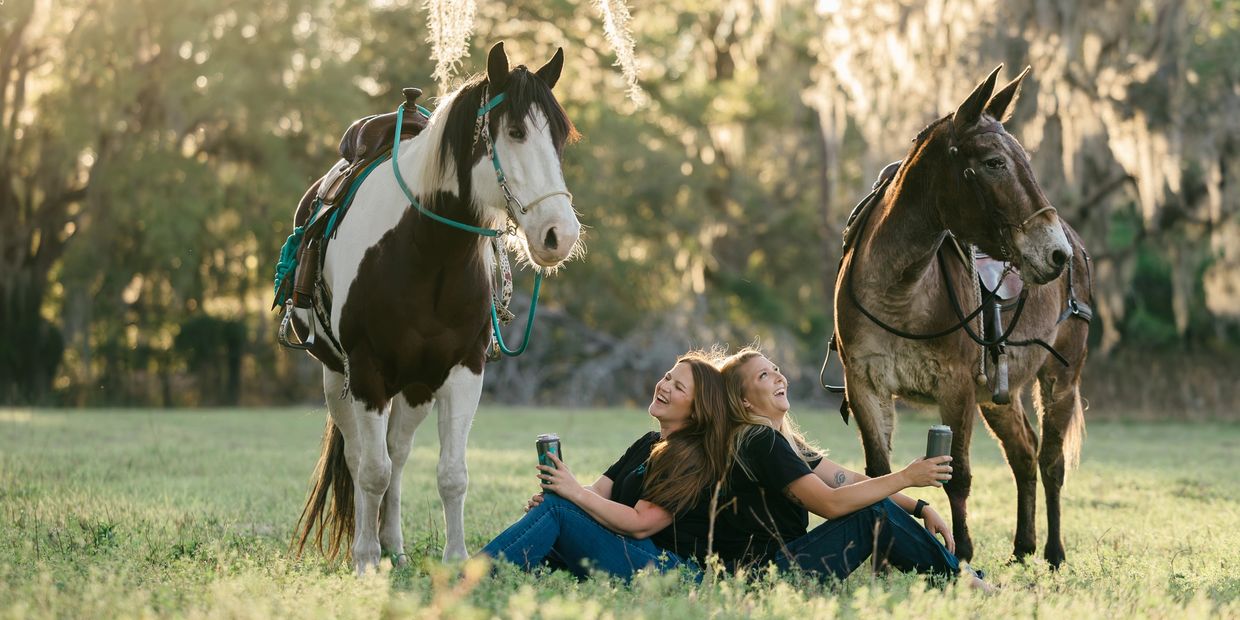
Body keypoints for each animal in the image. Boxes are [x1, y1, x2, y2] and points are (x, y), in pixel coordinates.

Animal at [288, 42, 582, 573]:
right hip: (337, 379)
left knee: (399, 454)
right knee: (362, 457)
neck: (427, 252)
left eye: (560, 140)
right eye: (515, 131)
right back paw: (373, 547)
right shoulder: (366, 372)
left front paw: (455, 559)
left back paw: (394, 546)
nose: (560, 234)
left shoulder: (463, 371)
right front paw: (365, 562)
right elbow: (371, 471)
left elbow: (450, 473)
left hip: (416, 388)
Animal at [832, 66, 1091, 568]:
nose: (1056, 253)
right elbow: (878, 474)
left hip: (1059, 379)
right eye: (993, 162)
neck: (901, 289)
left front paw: (963, 556)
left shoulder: (955, 388)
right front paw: (879, 560)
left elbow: (960, 477)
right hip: (999, 395)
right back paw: (1023, 547)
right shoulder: (865, 385)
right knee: (1024, 452)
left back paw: (1053, 553)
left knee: (1050, 461)